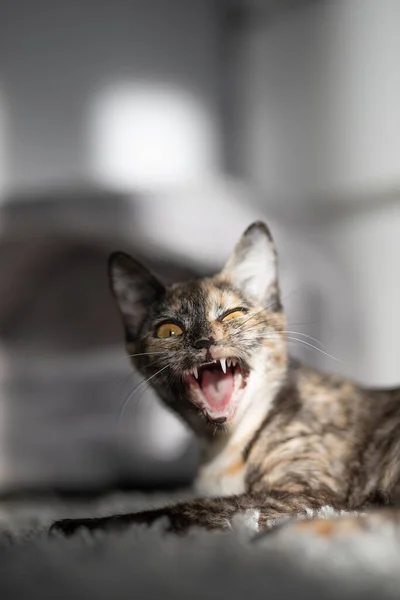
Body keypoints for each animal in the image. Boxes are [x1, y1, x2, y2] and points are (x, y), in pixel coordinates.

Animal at [51, 223, 400, 536]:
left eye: (233, 315)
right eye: (168, 330)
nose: (203, 341)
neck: (221, 447)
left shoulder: (310, 494)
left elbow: (183, 509)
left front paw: (74, 525)